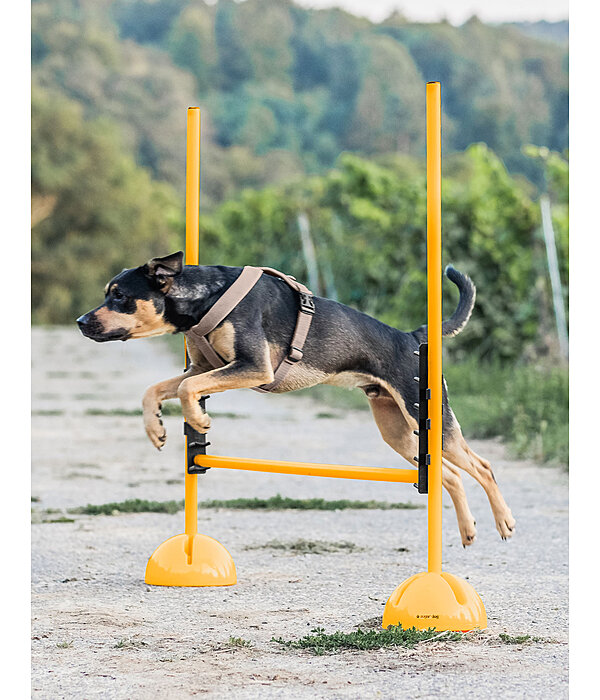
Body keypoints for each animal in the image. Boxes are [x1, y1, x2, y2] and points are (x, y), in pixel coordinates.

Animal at [76, 252, 516, 548]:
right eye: (108, 294)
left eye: (119, 296)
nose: (80, 321)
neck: (205, 298)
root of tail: (412, 336)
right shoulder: (201, 368)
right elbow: (155, 389)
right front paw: (156, 430)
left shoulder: (253, 366)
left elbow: (186, 391)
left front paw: (198, 422)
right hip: (399, 433)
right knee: (449, 475)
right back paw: (468, 530)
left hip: (428, 419)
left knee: (482, 466)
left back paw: (503, 521)